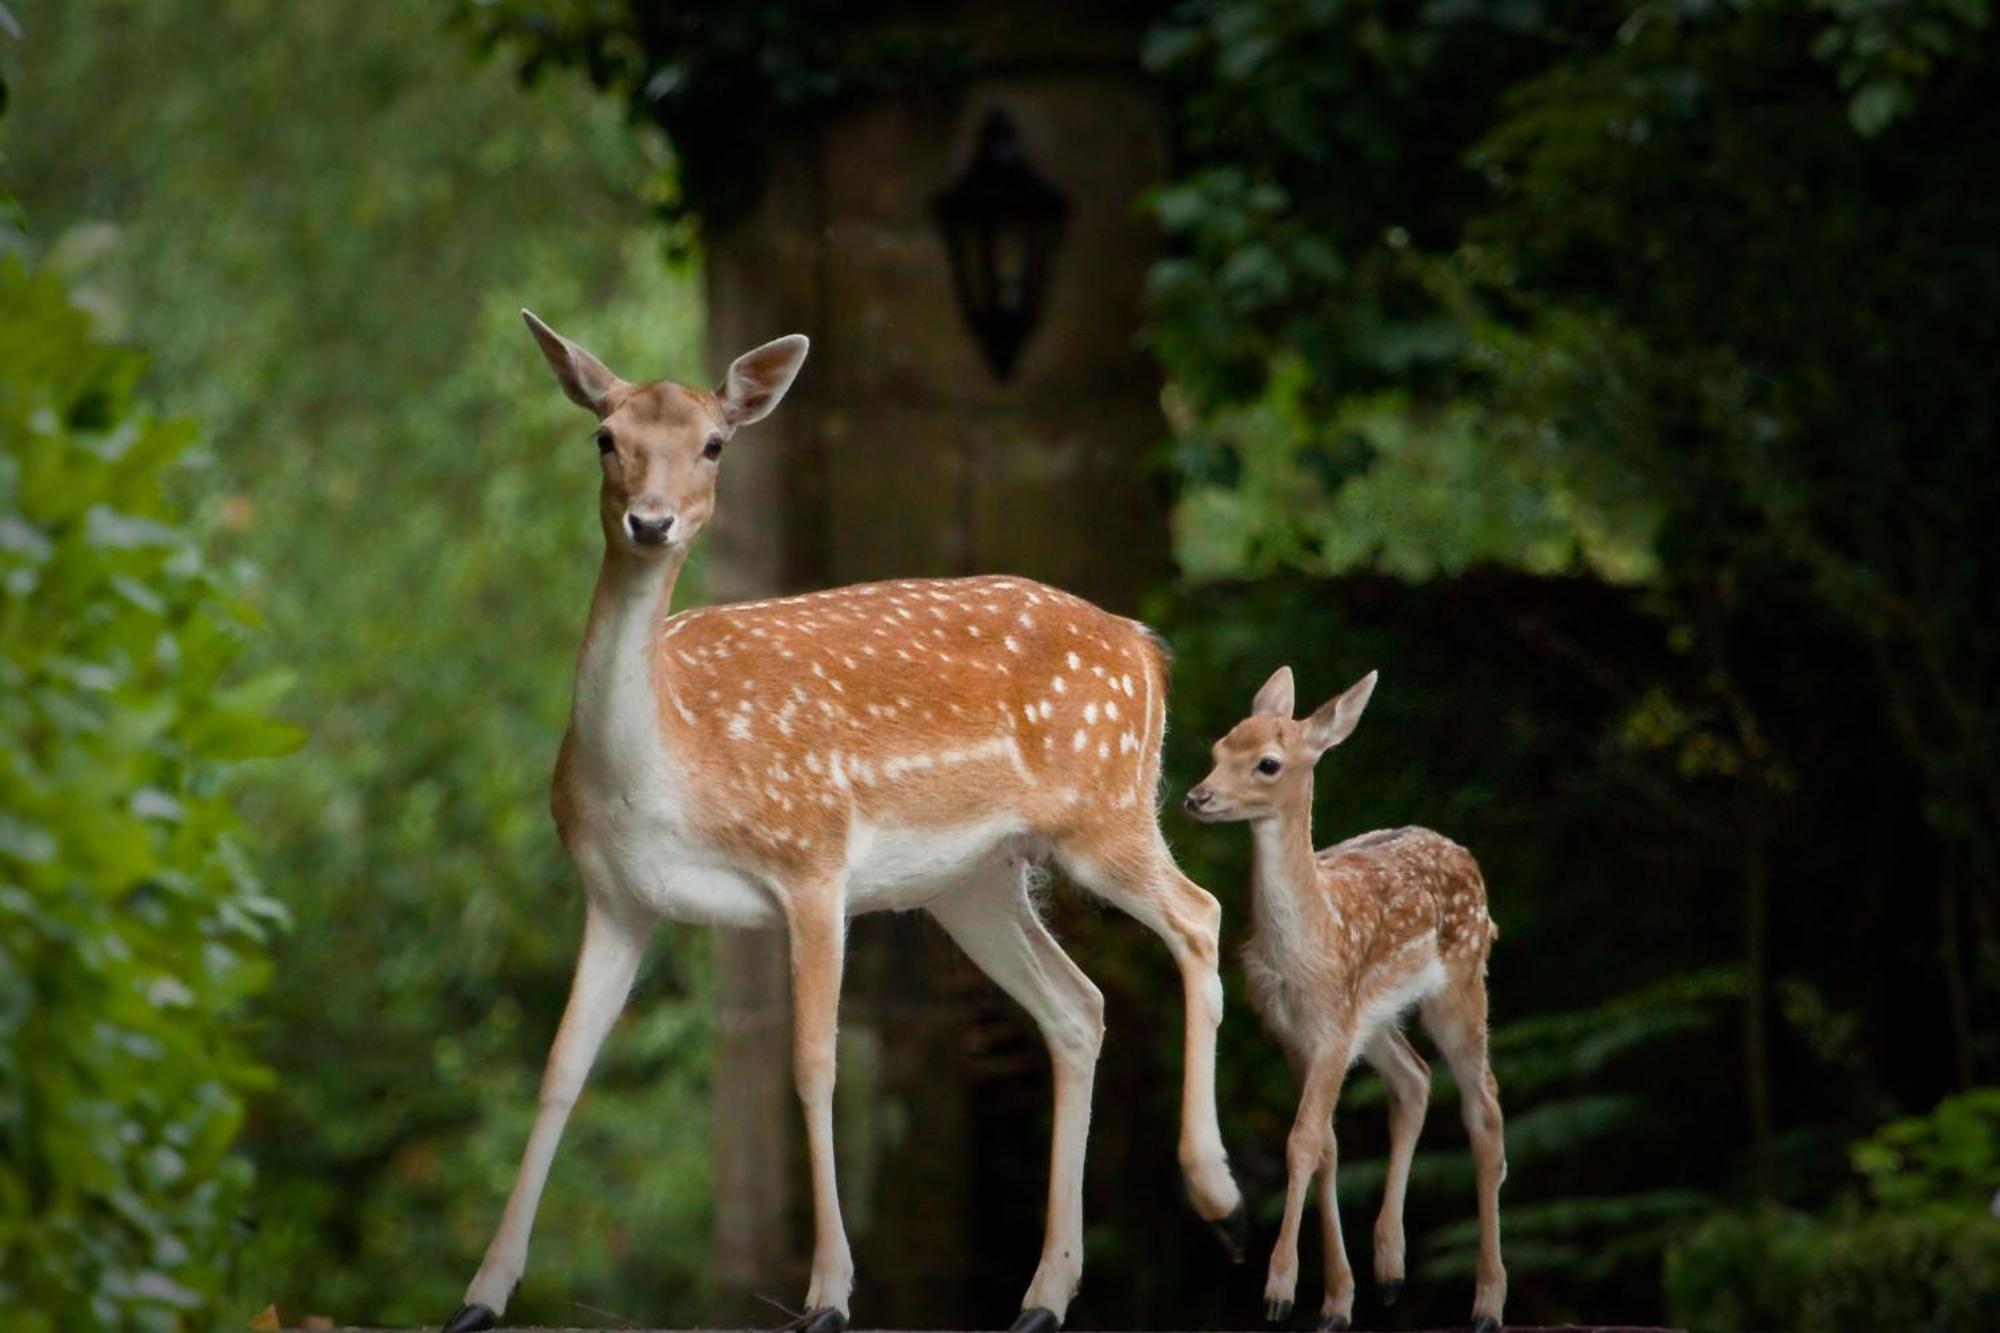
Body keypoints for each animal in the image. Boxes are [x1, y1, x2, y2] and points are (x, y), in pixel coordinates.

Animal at [446, 308, 1240, 1328]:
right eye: (605, 437)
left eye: (714, 443)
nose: (651, 520)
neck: (665, 763)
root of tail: (1145, 647)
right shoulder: (618, 895)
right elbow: (560, 1068)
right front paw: (482, 1292)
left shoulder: (813, 856)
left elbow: (814, 1062)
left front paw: (828, 1292)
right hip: (973, 881)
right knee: (1078, 1005)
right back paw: (1043, 1293)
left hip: (1105, 810)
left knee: (1200, 915)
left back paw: (1215, 1188)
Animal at [1184, 664, 1504, 1328]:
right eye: (1220, 748)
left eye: (1268, 764)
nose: (1196, 797)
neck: (1312, 938)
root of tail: (1461, 851)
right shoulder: (1292, 1031)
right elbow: (1324, 1144)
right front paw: (1334, 1300)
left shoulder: (1332, 1029)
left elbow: (1303, 1140)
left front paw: (1279, 1289)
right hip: (1376, 1018)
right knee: (1414, 1080)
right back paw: (1390, 1270)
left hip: (1461, 982)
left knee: (1483, 1107)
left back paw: (1488, 1301)